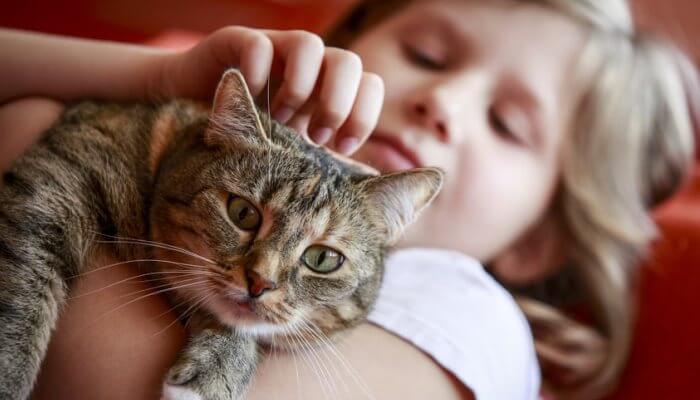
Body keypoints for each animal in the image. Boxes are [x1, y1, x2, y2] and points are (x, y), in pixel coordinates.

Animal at [0, 69, 442, 400]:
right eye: (242, 213)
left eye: (323, 259)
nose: (260, 282)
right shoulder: (55, 182)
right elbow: (20, 300)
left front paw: (220, 366)